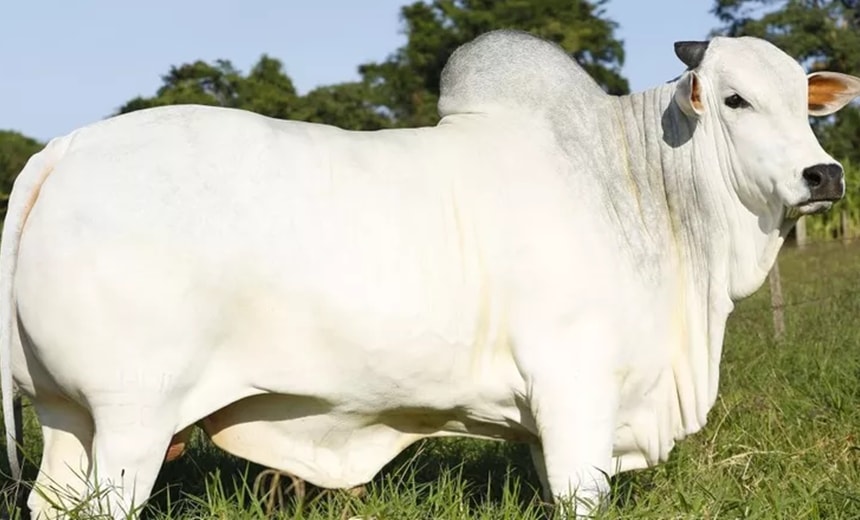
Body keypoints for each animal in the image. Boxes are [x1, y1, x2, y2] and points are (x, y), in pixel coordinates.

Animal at [1, 30, 860, 516]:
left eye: (806, 102)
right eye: (735, 100)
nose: (824, 175)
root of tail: (64, 149)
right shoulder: (576, 390)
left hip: (68, 417)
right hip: (132, 420)